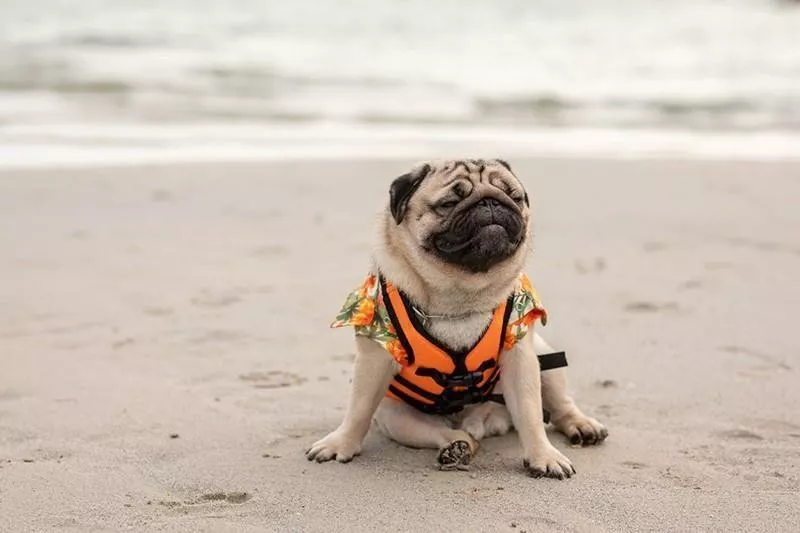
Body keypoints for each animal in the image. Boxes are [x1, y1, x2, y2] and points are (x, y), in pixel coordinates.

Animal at [306, 158, 608, 478]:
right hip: (395, 416)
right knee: (449, 434)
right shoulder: (374, 359)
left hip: (543, 357)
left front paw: (543, 456)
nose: (490, 202)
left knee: (560, 404)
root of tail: (480, 422)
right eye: (449, 203)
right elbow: (359, 409)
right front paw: (340, 444)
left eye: (513, 197)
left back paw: (582, 425)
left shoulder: (521, 358)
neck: (459, 293)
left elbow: (530, 413)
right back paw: (456, 448)